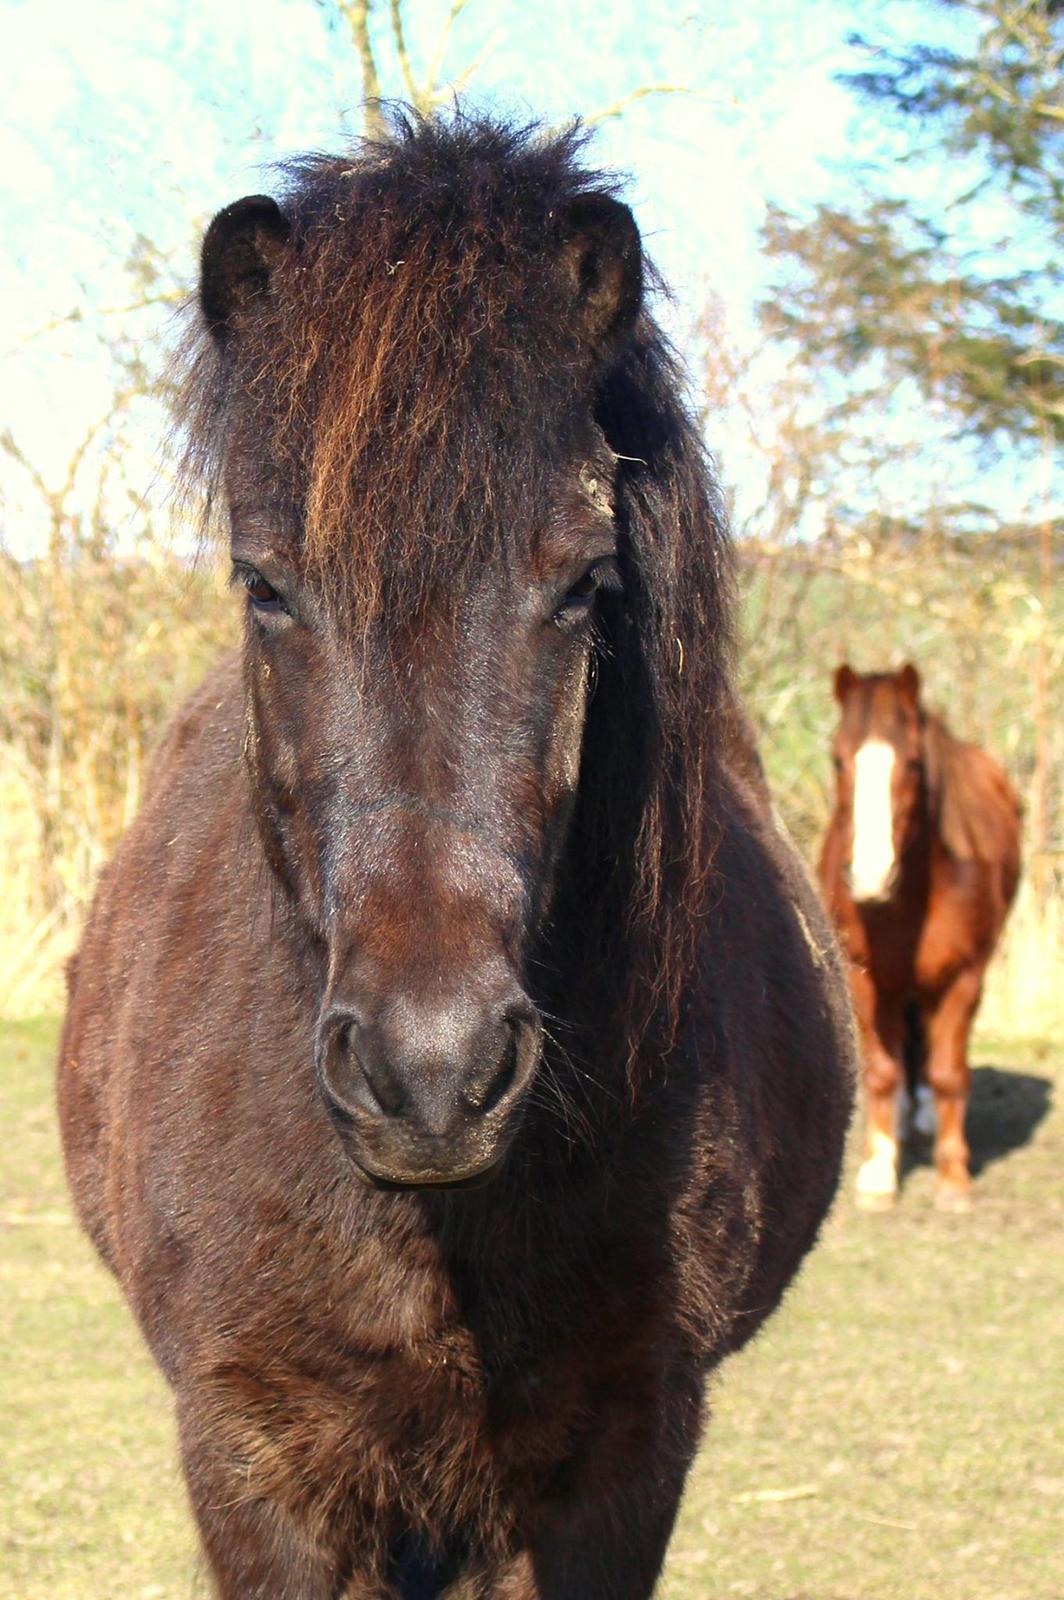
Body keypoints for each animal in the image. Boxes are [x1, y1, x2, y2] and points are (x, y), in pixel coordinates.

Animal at [816, 665, 1017, 1209]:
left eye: (912, 764)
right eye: (838, 759)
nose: (868, 876)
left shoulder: (964, 979)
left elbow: (949, 1074)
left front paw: (953, 1177)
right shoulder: (867, 979)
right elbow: (882, 1072)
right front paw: (878, 1172)